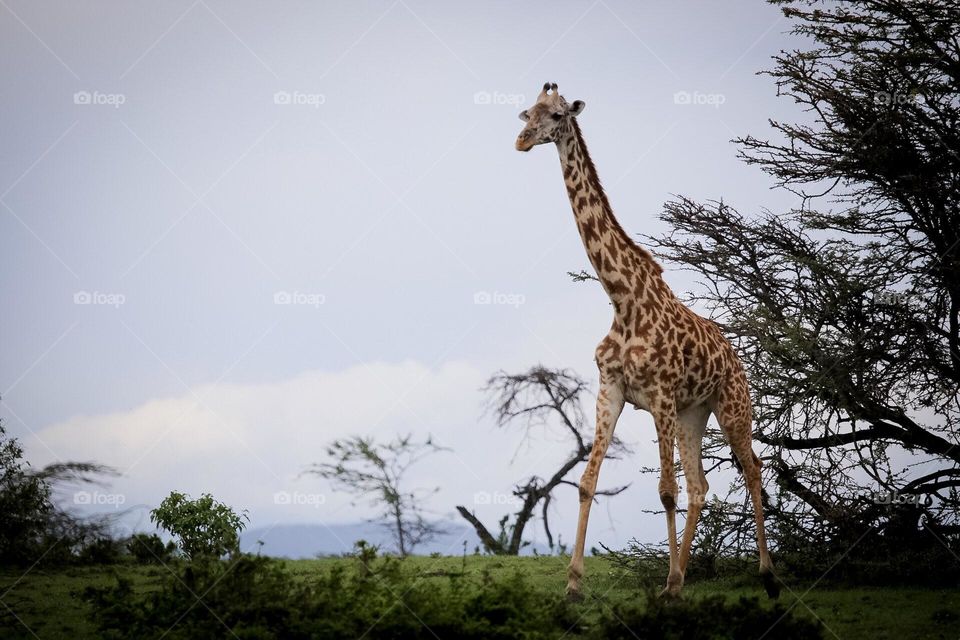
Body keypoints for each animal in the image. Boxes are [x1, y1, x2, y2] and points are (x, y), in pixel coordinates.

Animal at [515, 83, 779, 600]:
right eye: (527, 111)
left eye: (556, 115)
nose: (521, 140)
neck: (622, 297)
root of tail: (735, 357)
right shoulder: (611, 390)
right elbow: (587, 481)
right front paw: (574, 584)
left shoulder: (658, 395)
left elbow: (664, 491)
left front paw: (667, 584)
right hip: (693, 413)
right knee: (701, 486)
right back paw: (683, 575)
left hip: (731, 407)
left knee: (753, 469)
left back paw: (764, 573)